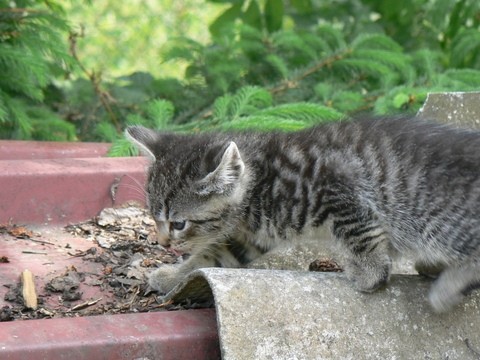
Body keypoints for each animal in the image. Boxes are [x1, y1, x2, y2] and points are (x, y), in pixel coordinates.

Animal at [125, 116, 480, 312]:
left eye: (178, 223)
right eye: (154, 217)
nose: (162, 243)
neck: (262, 179)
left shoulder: (341, 188)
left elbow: (361, 232)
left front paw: (370, 273)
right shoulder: (253, 236)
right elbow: (212, 256)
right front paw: (174, 276)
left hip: (440, 221)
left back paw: (446, 286)